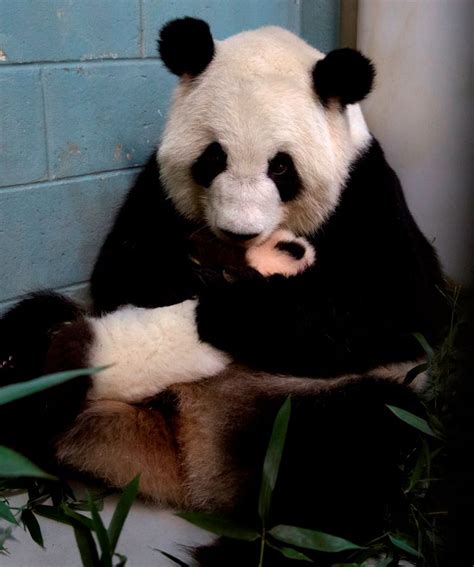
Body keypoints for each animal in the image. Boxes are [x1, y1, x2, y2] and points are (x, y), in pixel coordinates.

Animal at [0, 17, 448, 567]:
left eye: (282, 167)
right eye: (213, 157)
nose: (239, 232)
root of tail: (186, 470)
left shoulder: (366, 189)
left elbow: (404, 306)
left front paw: (227, 310)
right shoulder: (158, 190)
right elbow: (118, 272)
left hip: (322, 404)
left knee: (357, 449)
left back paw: (252, 549)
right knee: (34, 334)